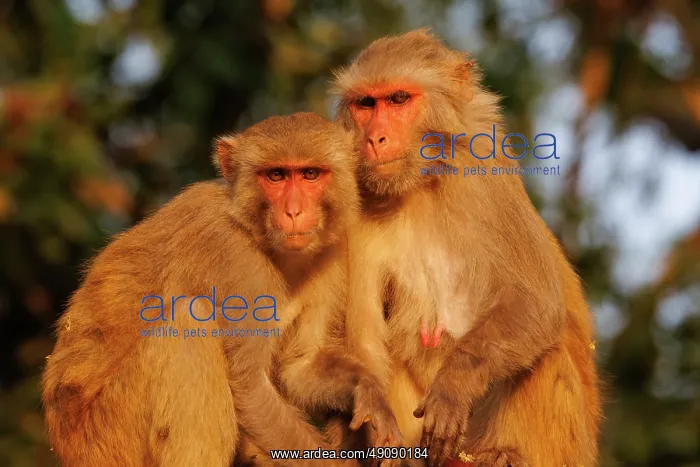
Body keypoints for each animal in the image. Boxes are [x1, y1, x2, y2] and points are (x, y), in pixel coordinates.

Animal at [41, 112, 402, 467]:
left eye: (310, 174)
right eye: (275, 176)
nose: (293, 211)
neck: (259, 235)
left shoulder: (332, 257)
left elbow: (298, 368)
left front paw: (366, 390)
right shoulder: (234, 256)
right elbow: (250, 385)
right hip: (110, 437)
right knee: (189, 319)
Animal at [330, 29, 601, 467]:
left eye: (399, 99)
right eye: (366, 104)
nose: (375, 137)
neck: (418, 186)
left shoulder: (484, 177)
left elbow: (538, 304)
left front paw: (454, 386)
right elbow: (365, 342)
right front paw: (378, 428)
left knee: (547, 352)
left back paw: (503, 454)